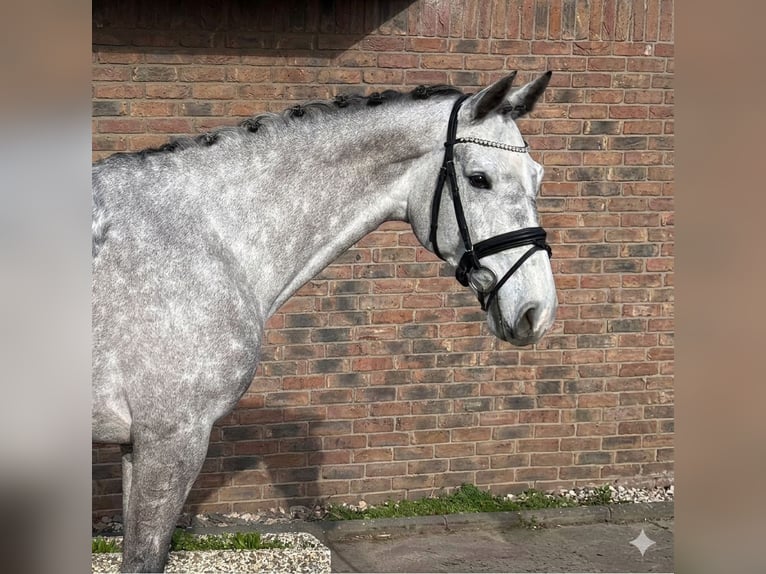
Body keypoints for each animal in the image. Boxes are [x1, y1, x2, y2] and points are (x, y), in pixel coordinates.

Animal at [92, 71, 557, 572]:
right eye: (479, 179)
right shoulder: (171, 439)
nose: (537, 310)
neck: (202, 236)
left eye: (537, 176)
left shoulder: (141, 445)